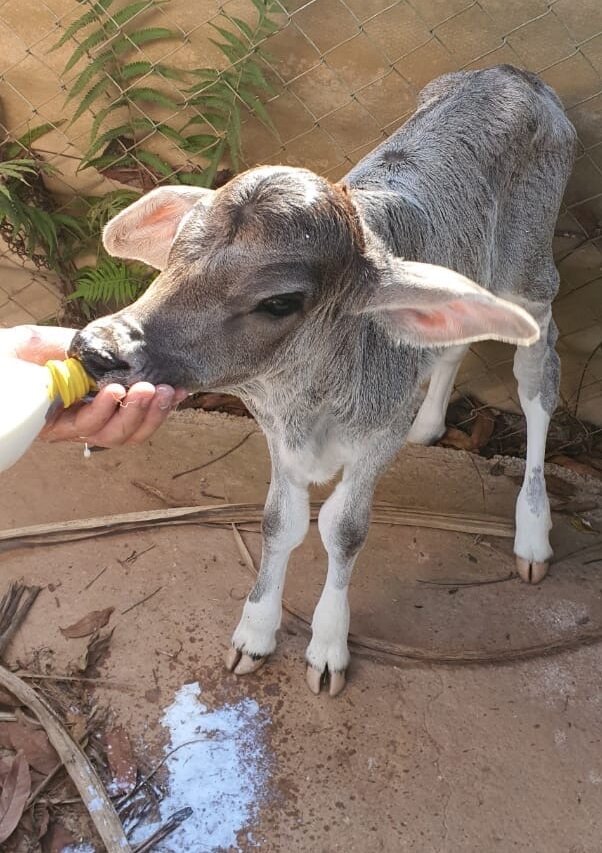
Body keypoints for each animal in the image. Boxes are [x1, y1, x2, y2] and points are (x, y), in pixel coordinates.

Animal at [72, 65, 576, 692]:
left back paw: (533, 530)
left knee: (538, 379)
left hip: (532, 278)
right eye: (173, 255)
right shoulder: (274, 433)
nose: (96, 349)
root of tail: (514, 74)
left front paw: (328, 648)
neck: (307, 405)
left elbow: (344, 529)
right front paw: (255, 634)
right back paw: (430, 425)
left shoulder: (378, 435)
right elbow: (277, 522)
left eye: (280, 301)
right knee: (454, 339)